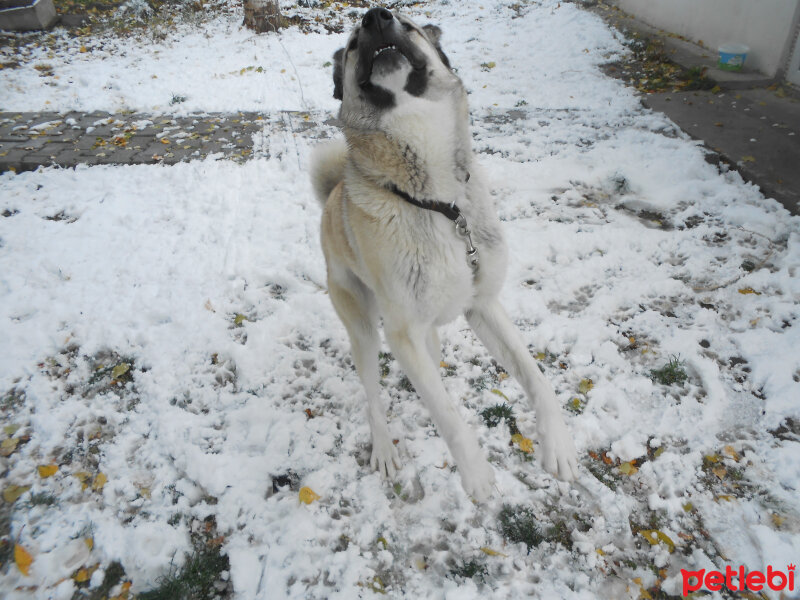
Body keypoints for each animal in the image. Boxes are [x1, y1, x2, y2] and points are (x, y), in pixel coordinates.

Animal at [310, 8, 580, 502]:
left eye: (407, 24)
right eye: (355, 43)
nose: (375, 16)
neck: (439, 204)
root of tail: (333, 197)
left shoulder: (483, 305)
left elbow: (535, 375)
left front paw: (558, 443)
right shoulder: (402, 334)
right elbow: (449, 416)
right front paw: (475, 473)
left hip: (427, 333)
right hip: (363, 327)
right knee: (374, 396)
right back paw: (384, 448)